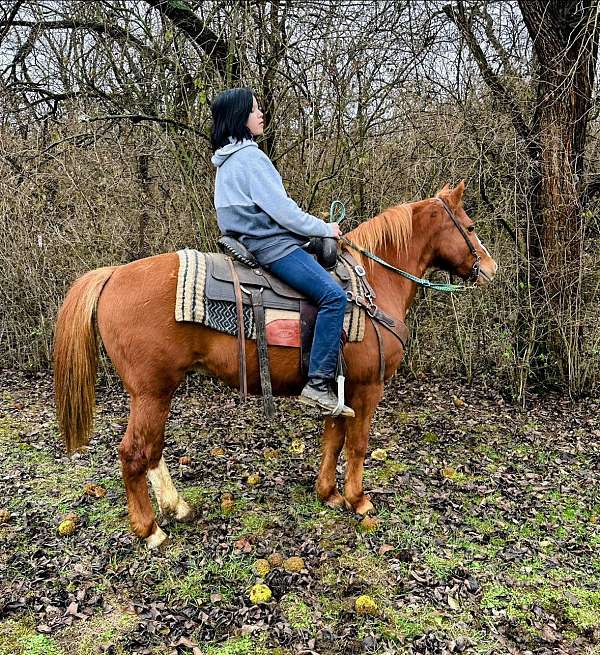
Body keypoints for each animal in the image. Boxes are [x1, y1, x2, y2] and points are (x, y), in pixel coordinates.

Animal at [55, 179, 496, 548]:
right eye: (471, 226)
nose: (491, 269)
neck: (372, 284)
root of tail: (113, 275)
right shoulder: (368, 387)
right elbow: (357, 445)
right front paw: (358, 500)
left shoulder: (339, 387)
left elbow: (333, 438)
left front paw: (328, 494)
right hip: (151, 392)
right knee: (134, 454)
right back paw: (150, 531)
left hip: (156, 394)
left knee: (153, 450)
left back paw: (176, 507)